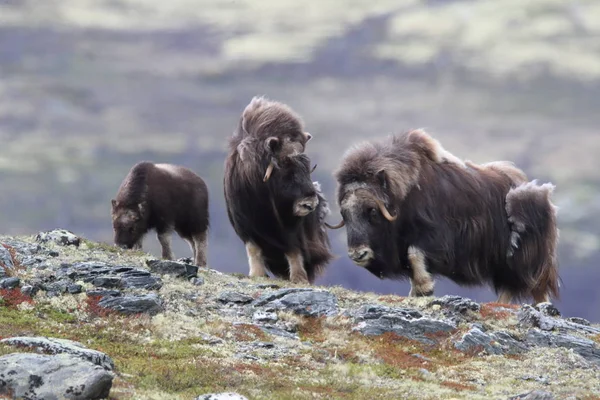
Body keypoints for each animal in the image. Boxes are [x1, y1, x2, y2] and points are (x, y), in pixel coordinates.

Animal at [223, 96, 332, 284]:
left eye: (307, 163)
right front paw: (257, 274)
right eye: (284, 164)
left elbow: (294, 250)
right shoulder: (245, 224)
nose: (310, 204)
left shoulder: (291, 228)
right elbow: (254, 249)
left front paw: (299, 278)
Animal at [326, 130, 560, 304]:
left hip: (523, 257)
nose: (358, 254)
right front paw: (417, 292)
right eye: (345, 214)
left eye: (372, 211)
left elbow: (415, 254)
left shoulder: (435, 237)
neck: (402, 198)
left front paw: (424, 288)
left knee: (531, 286)